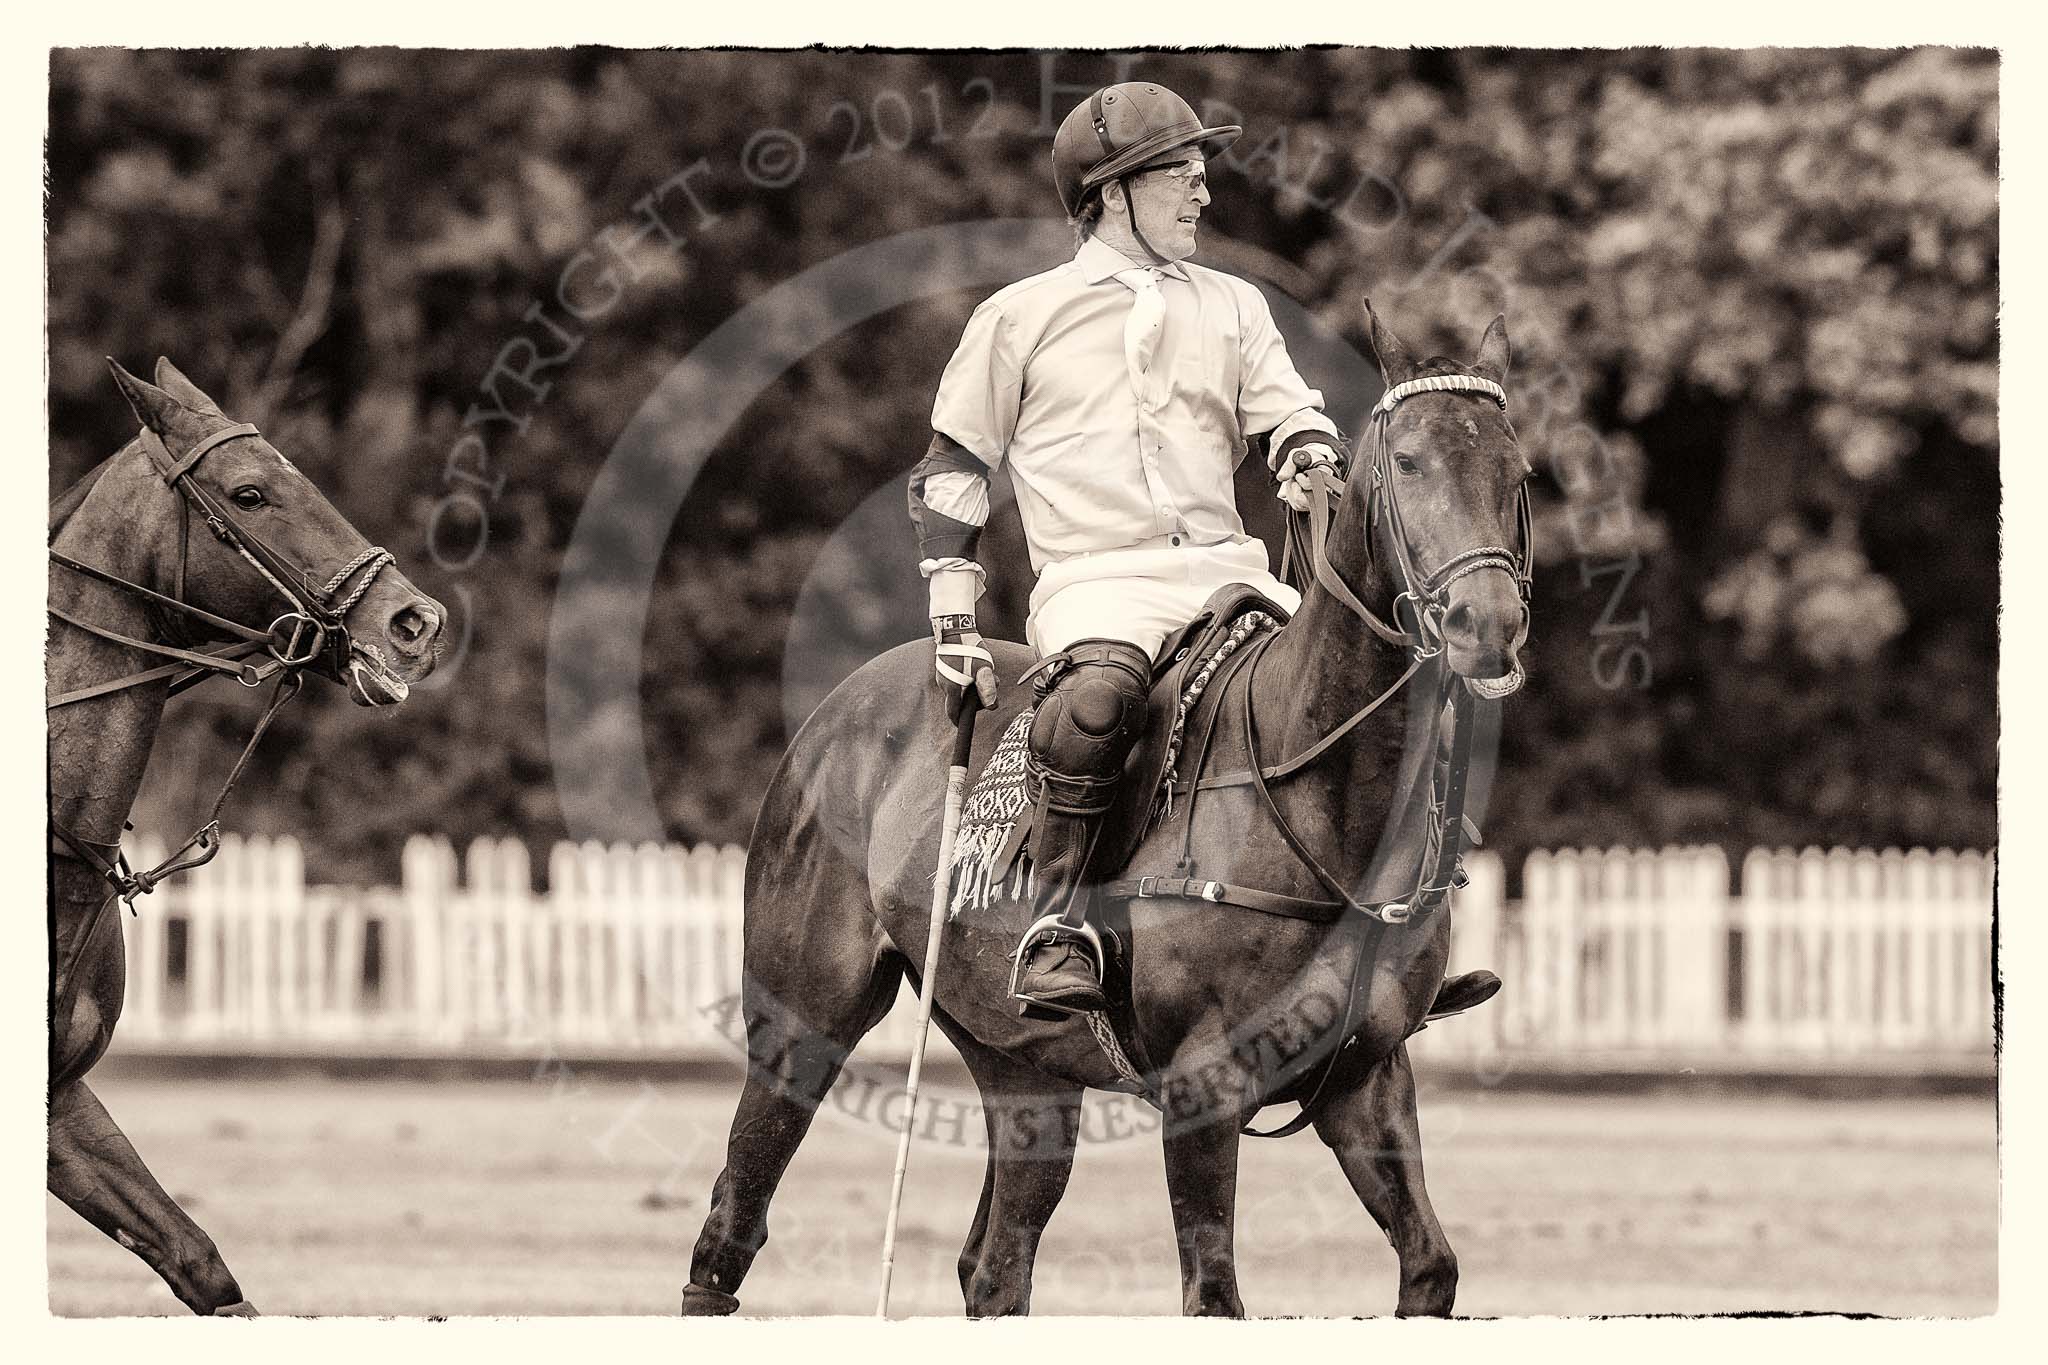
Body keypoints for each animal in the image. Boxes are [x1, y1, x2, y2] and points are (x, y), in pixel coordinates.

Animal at [679, 306, 1531, 1309]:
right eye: (1407, 462)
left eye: (1517, 471)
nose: (1487, 626)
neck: (1322, 802)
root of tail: (834, 708)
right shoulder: (1203, 1085)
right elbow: (1214, 1295)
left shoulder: (1365, 1075)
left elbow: (1430, 1265)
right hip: (801, 1020)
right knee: (734, 1218)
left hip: (1018, 1061)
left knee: (994, 1267)